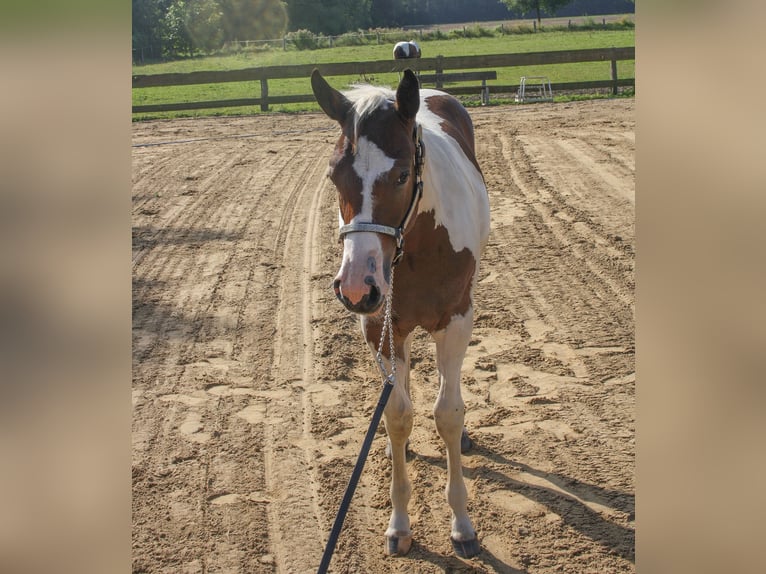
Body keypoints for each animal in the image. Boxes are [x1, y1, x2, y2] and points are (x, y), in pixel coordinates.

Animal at [312, 70, 492, 560]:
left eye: (401, 174)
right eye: (334, 175)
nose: (356, 286)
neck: (418, 245)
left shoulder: (456, 321)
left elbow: (448, 413)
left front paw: (462, 525)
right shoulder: (379, 325)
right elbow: (396, 416)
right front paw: (399, 523)